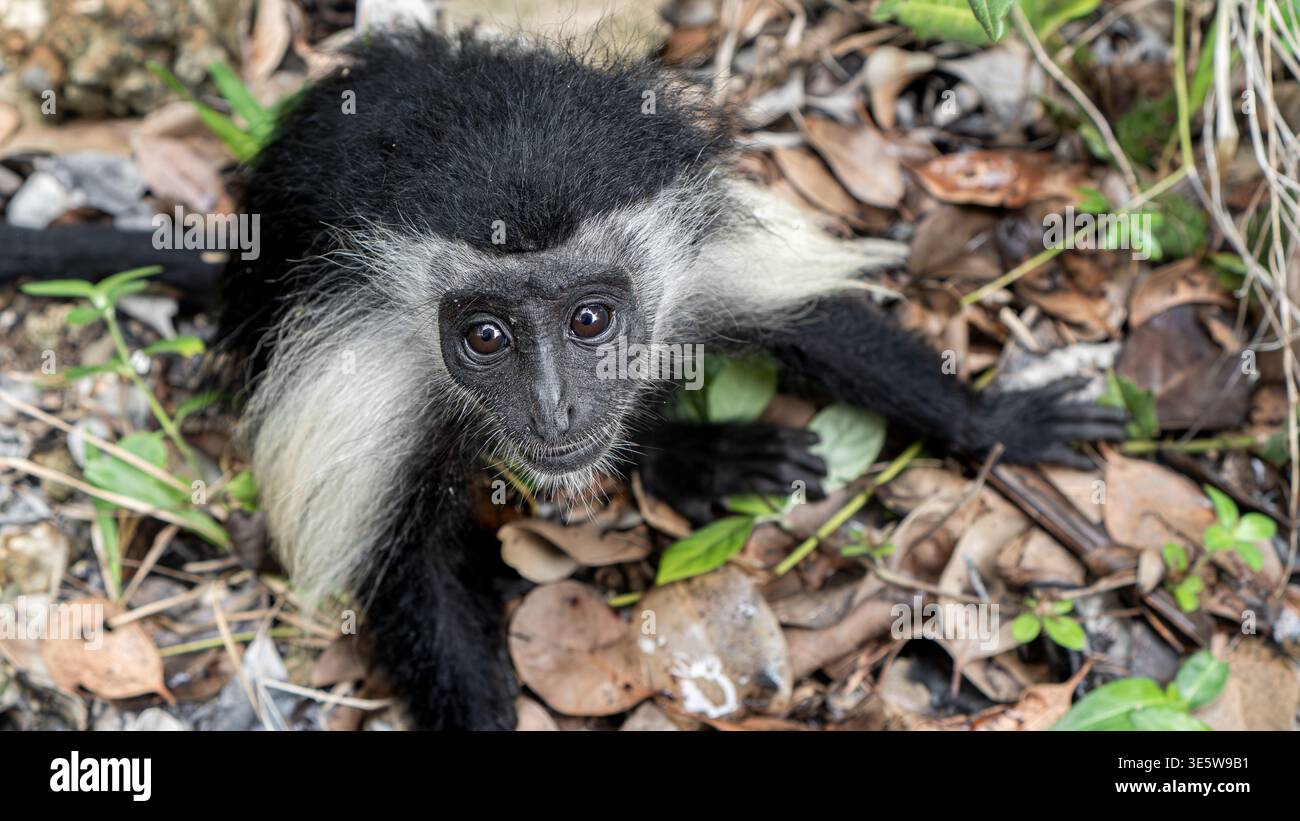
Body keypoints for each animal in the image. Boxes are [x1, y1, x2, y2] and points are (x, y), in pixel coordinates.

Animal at [0, 29, 1126, 730]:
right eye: (486, 336)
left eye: (589, 319)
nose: (555, 404)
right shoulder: (361, 364)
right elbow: (402, 569)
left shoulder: (688, 245)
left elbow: (819, 323)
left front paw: (997, 418)